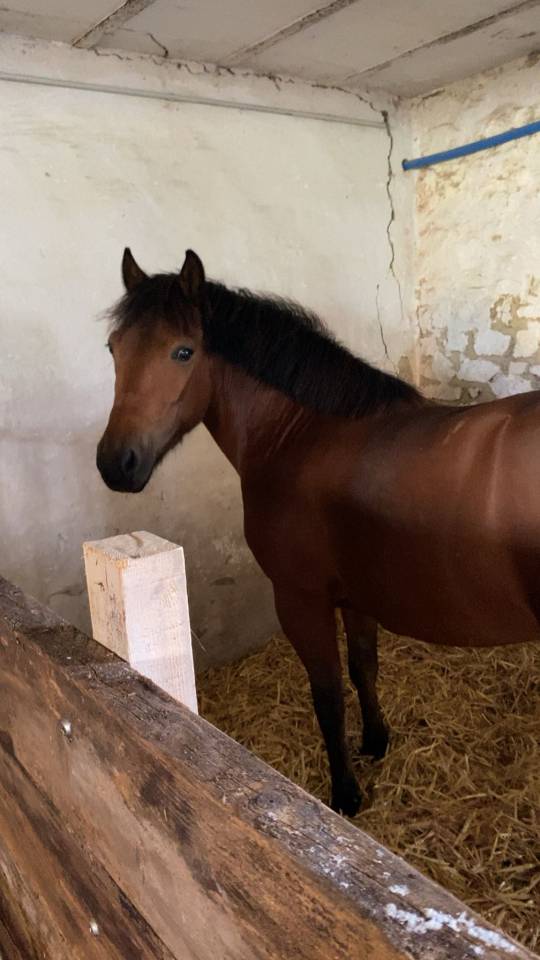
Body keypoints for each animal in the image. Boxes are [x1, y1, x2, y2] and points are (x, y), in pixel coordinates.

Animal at [97, 248, 540, 816]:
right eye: (114, 347)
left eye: (182, 351)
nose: (116, 464)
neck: (301, 436)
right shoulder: (357, 596)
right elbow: (364, 668)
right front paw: (376, 741)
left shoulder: (300, 600)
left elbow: (328, 695)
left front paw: (345, 794)